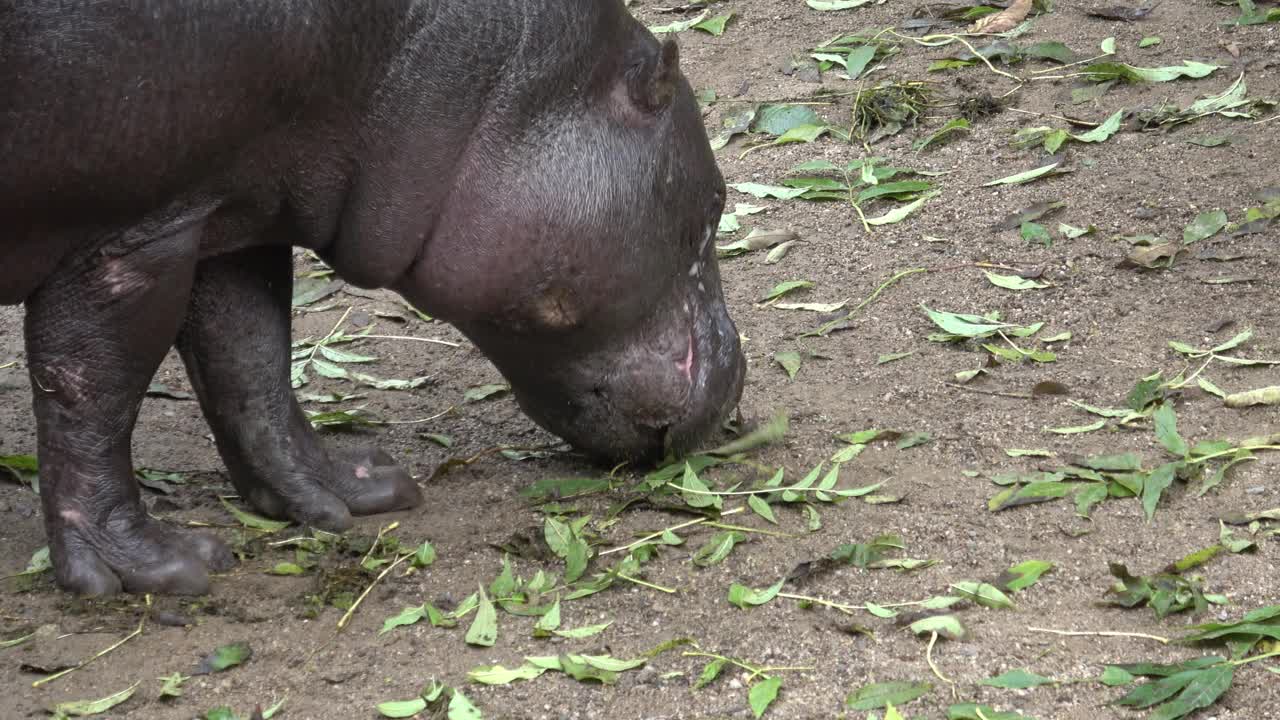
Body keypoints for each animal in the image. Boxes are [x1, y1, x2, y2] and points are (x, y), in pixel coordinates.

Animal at [0, 0, 747, 594]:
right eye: (715, 202)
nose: (737, 380)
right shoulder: (127, 236)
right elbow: (93, 398)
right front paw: (161, 568)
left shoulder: (232, 206)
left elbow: (249, 360)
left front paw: (357, 490)